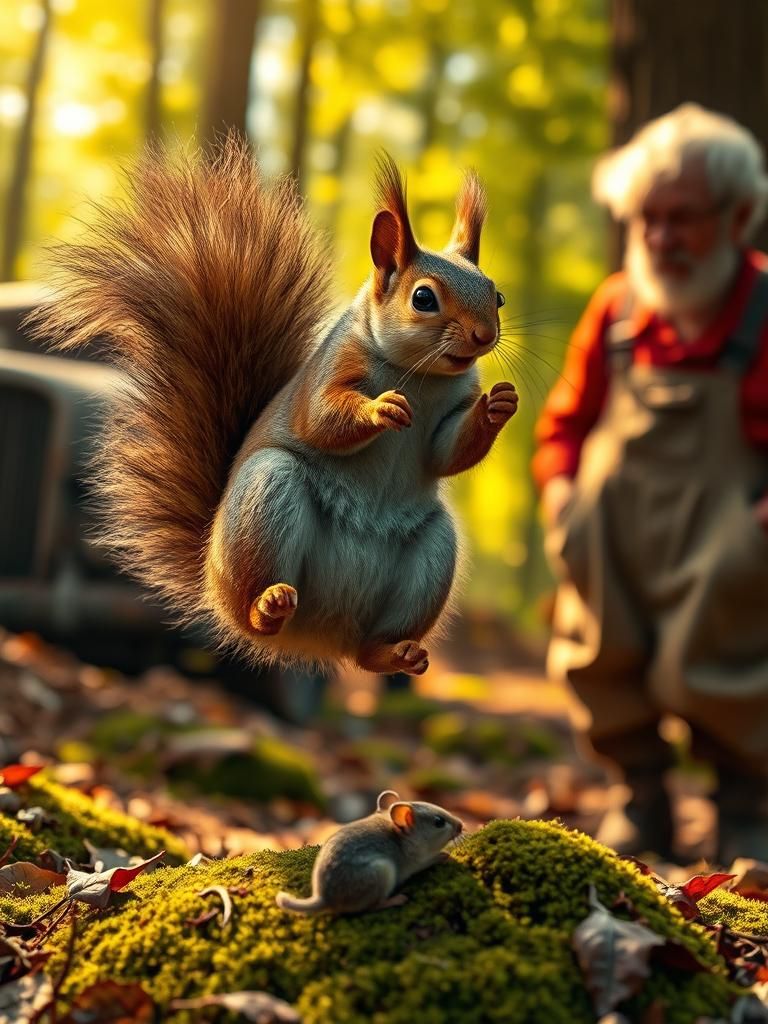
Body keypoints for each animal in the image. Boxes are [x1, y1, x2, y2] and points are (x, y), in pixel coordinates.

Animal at [28, 135, 518, 676]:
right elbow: (320, 418)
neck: (422, 376)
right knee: (256, 611)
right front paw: (380, 409)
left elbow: (446, 450)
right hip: (266, 496)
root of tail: (318, 637)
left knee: (369, 652)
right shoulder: (329, 371)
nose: (484, 336)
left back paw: (394, 650)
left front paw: (499, 405)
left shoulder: (448, 412)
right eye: (424, 298)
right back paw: (267, 605)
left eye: (496, 296)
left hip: (432, 554)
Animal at [275, 790, 463, 914]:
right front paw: (445, 855)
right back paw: (396, 900)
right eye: (439, 822)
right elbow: (430, 859)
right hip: (383, 871)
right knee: (372, 906)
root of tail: (323, 898)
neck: (403, 838)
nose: (461, 825)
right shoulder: (416, 861)